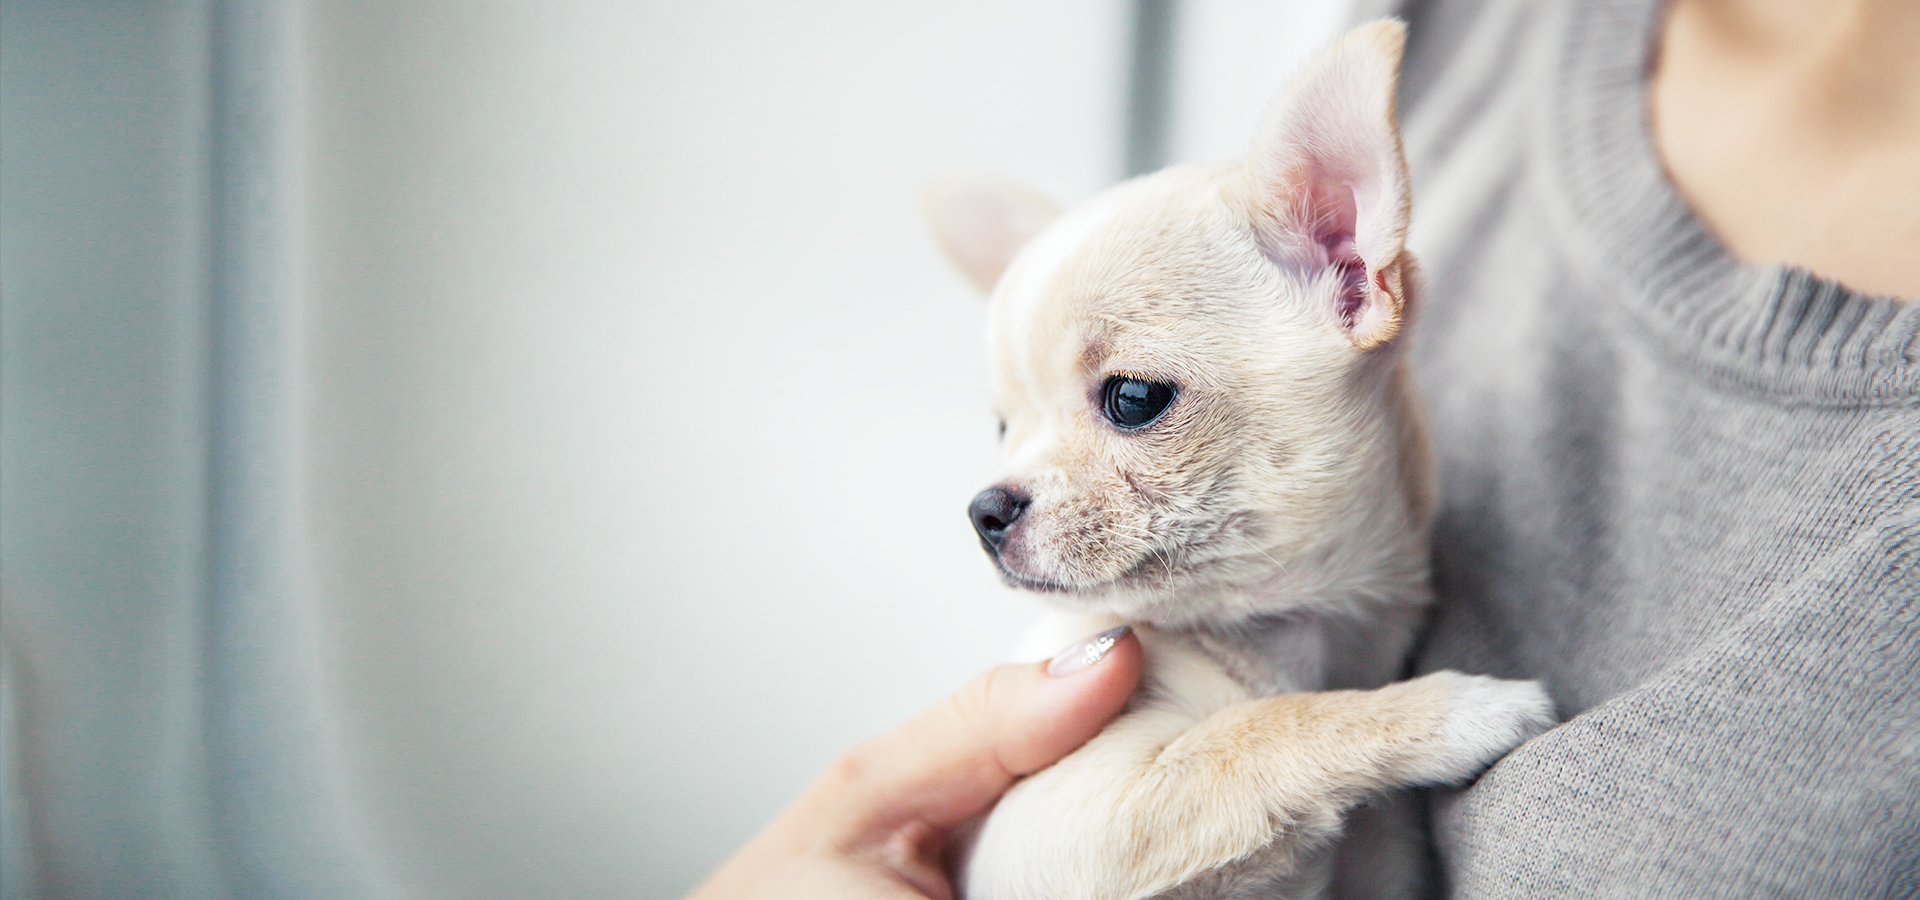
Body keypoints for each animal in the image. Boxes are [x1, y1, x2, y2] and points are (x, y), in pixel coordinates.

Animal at [921, 21, 1551, 898]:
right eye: (1003, 427)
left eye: (1134, 398)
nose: (984, 509)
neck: (1280, 636)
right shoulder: (1062, 818)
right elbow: (1257, 730)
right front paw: (1453, 709)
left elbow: (1250, 731)